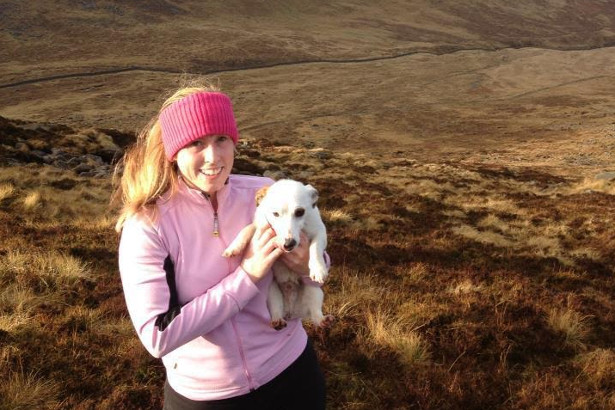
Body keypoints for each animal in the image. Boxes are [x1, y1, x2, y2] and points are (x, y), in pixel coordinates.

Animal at [224, 179, 334, 330]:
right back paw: (278, 320)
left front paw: (318, 268)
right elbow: (247, 229)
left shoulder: (320, 232)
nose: (289, 244)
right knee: (277, 310)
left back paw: (323, 320)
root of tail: (292, 311)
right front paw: (234, 247)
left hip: (315, 291)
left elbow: (315, 247)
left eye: (300, 212)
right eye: (275, 214)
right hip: (272, 292)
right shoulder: (259, 225)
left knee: (315, 314)